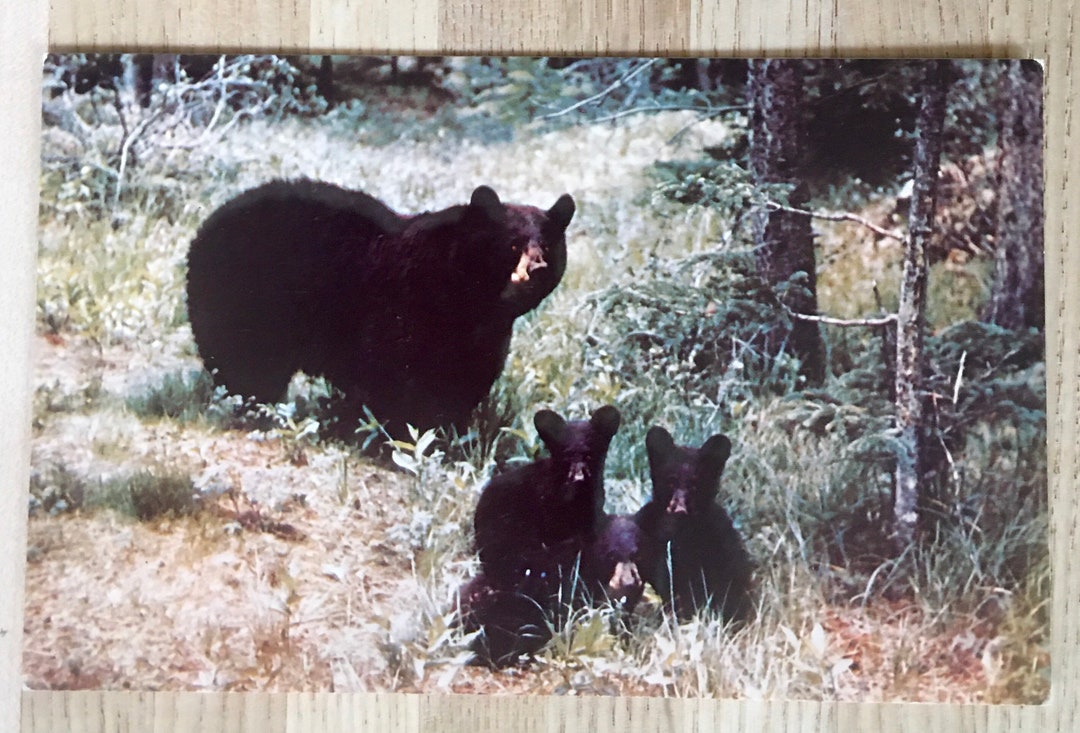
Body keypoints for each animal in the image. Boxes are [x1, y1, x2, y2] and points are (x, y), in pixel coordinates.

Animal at [185, 181, 575, 438]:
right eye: (512, 243)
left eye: (548, 244)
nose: (536, 269)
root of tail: (208, 221)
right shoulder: (399, 308)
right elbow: (393, 374)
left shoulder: (481, 338)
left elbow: (462, 381)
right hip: (242, 298)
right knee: (245, 362)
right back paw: (256, 406)